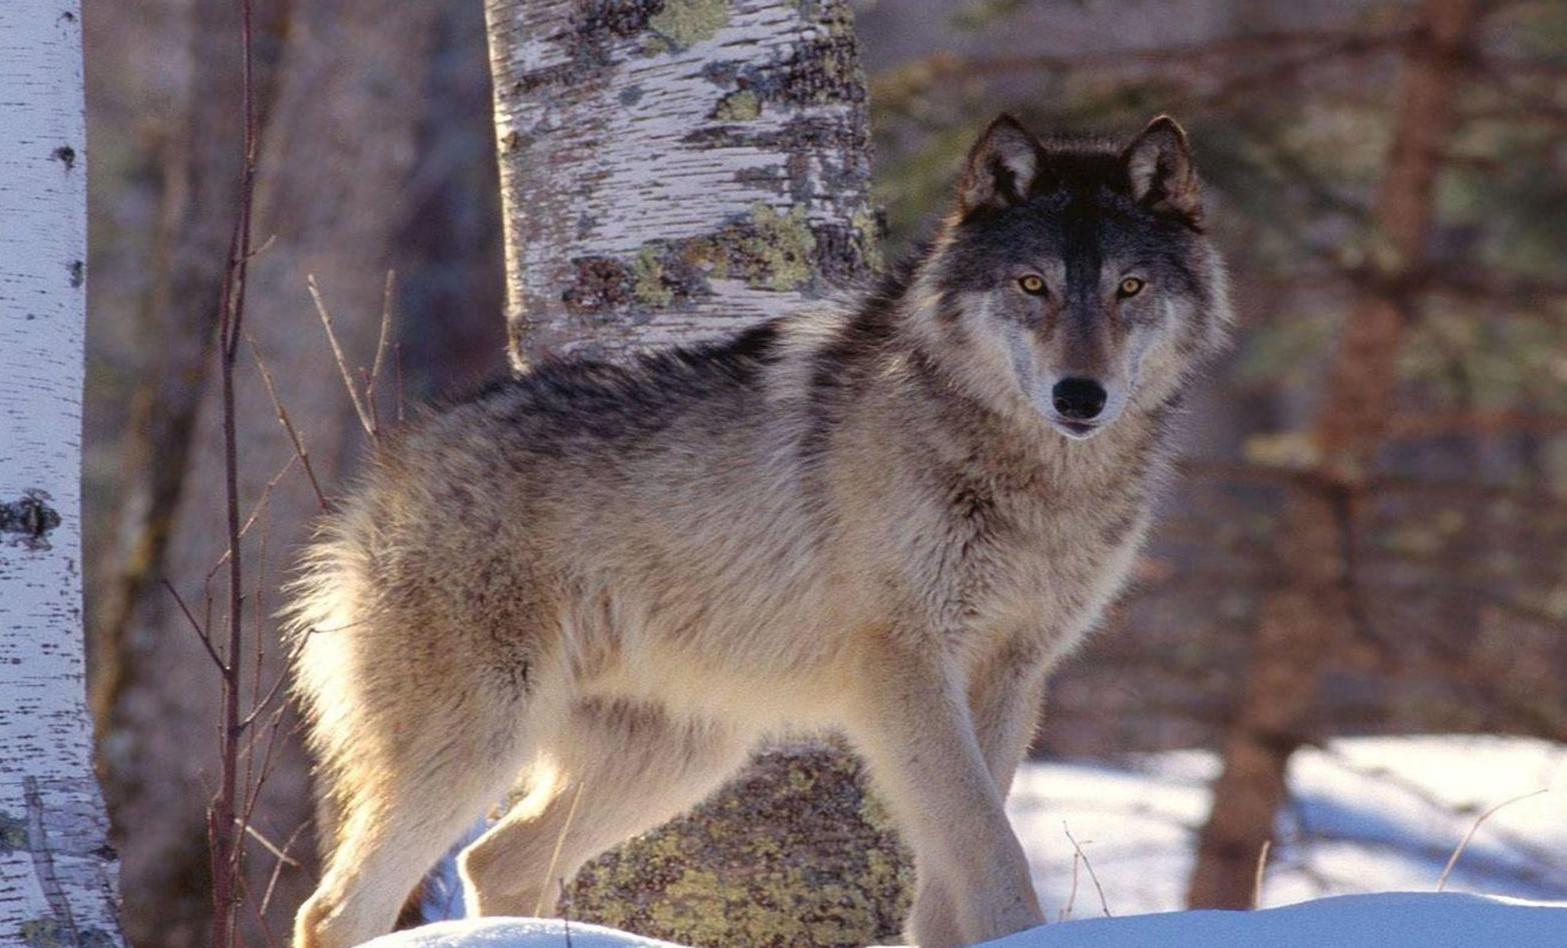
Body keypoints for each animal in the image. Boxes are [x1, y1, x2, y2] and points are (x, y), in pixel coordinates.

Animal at [288, 112, 1228, 946]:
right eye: (1032, 285)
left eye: (1128, 289)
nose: (1080, 397)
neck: (1032, 481)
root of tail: (386, 468)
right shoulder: (903, 667)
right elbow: (989, 849)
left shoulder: (1011, 674)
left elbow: (958, 859)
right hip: (480, 740)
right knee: (336, 911)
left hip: (683, 758)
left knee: (495, 862)